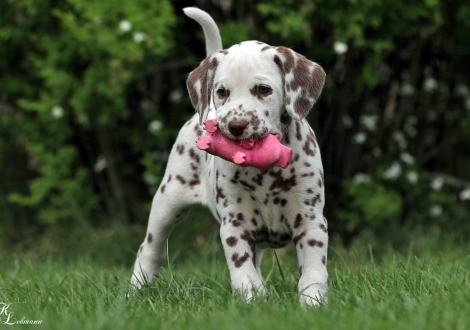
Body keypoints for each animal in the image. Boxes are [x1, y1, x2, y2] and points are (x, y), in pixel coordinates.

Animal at [130, 6, 328, 306]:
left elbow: (313, 271)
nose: (235, 126)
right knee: (150, 249)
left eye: (263, 89)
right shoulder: (235, 224)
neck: (264, 171)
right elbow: (243, 270)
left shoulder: (311, 220)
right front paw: (252, 300)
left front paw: (313, 302)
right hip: (168, 201)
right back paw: (136, 289)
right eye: (222, 92)